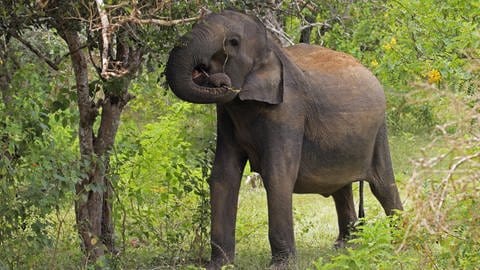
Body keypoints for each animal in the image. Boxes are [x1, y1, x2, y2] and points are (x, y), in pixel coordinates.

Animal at [165, 10, 402, 268]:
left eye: (233, 42)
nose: (220, 80)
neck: (272, 48)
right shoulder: (226, 115)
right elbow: (224, 175)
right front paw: (220, 265)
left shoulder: (288, 111)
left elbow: (277, 175)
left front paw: (281, 265)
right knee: (341, 188)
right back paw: (344, 247)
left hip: (379, 131)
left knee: (383, 185)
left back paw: (400, 243)